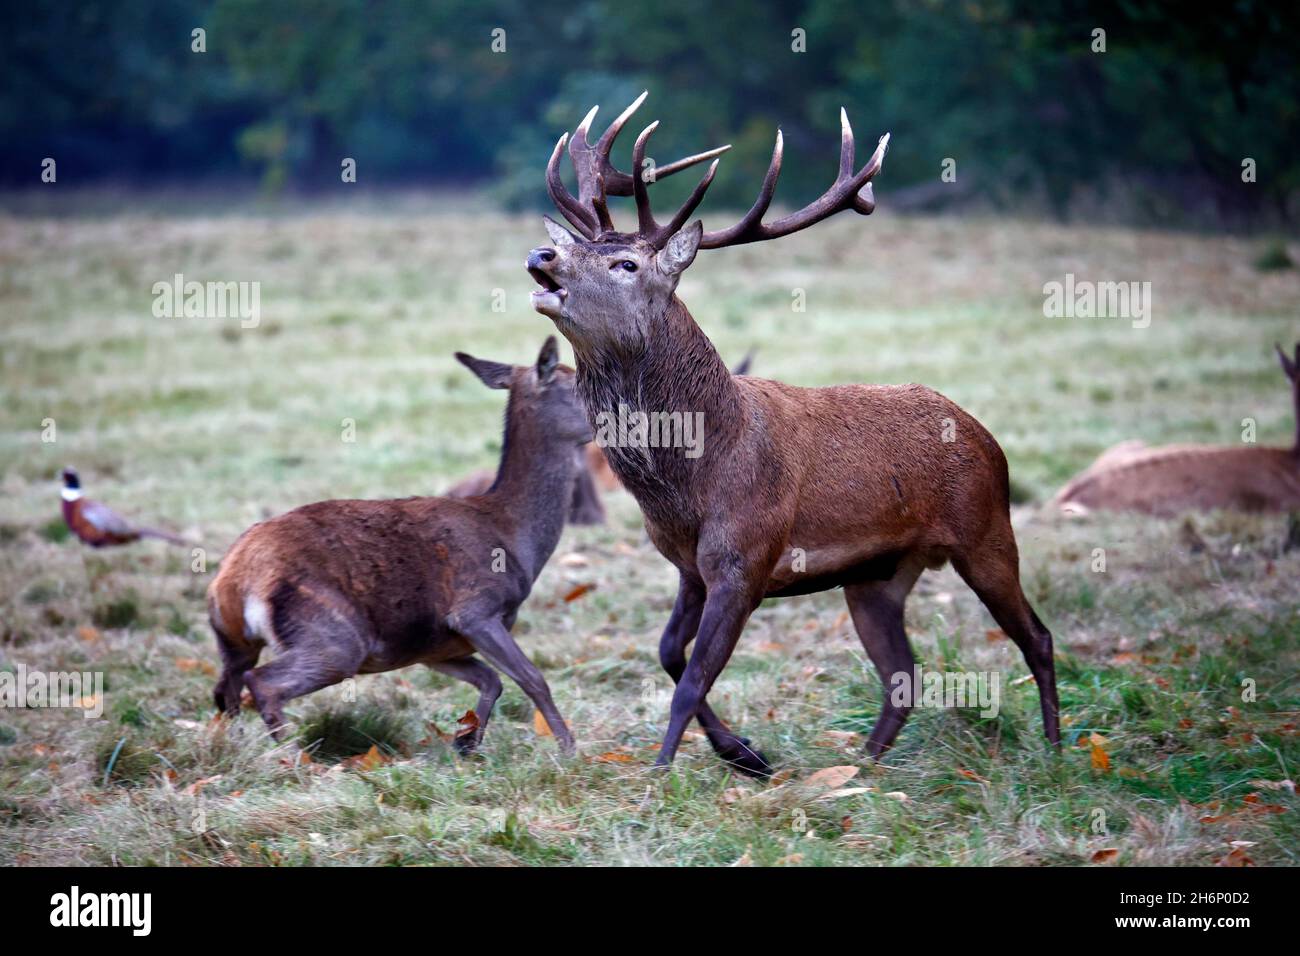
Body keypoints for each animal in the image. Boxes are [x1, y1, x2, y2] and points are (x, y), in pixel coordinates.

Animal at [206, 338, 587, 754]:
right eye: (579, 385)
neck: (515, 539)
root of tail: (230, 580)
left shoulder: (434, 646)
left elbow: (492, 681)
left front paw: (466, 744)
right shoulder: (475, 609)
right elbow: (533, 678)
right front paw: (569, 749)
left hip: (233, 639)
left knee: (225, 689)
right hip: (333, 634)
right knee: (263, 683)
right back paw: (294, 758)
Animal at [526, 93, 1059, 776]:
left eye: (626, 263)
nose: (542, 257)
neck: (688, 482)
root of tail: (985, 436)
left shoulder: (746, 558)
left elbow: (692, 679)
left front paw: (664, 771)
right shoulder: (691, 568)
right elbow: (670, 655)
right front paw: (746, 754)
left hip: (986, 530)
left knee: (1036, 636)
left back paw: (1056, 750)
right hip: (878, 576)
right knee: (903, 673)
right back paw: (864, 767)